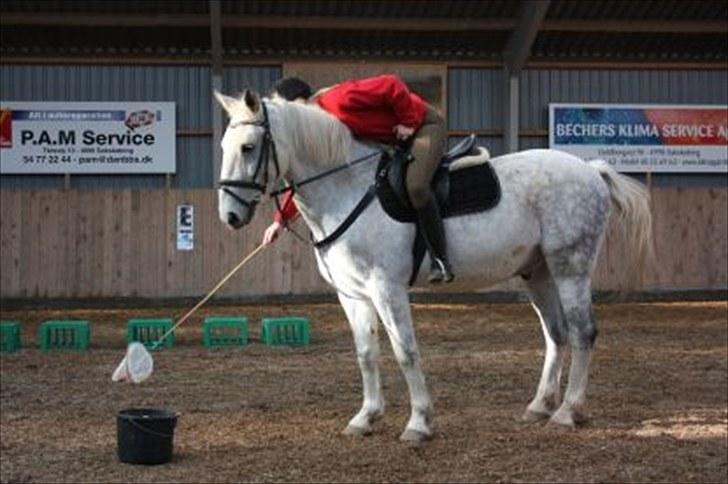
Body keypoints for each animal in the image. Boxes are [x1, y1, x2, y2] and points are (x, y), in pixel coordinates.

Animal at [212, 90, 656, 442]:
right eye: (223, 147)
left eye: (248, 147)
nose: (230, 216)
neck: (347, 188)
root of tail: (591, 170)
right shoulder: (353, 295)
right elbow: (366, 353)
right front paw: (365, 418)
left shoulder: (387, 288)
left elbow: (405, 351)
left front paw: (419, 423)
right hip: (538, 272)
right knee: (556, 334)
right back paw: (540, 406)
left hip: (570, 267)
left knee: (583, 333)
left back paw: (567, 412)